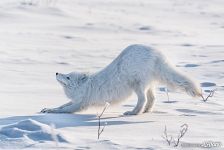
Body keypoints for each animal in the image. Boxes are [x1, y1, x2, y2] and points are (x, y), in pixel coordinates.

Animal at [41, 44, 202, 115]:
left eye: (67, 76)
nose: (56, 72)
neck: (85, 87)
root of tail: (156, 53)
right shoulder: (76, 100)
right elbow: (61, 105)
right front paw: (47, 108)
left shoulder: (81, 104)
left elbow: (65, 110)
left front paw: (51, 112)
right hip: (148, 84)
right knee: (152, 98)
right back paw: (146, 111)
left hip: (137, 84)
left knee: (143, 99)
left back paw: (133, 112)